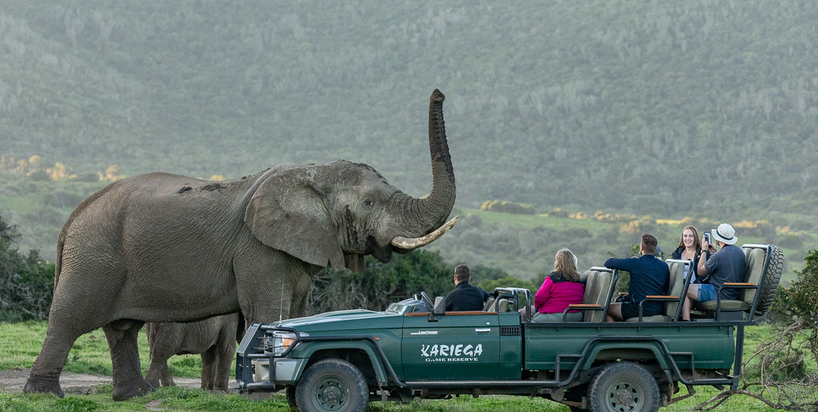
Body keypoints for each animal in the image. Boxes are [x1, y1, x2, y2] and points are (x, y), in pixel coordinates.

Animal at [22, 89, 456, 400]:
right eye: (369, 203)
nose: (439, 92)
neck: (312, 172)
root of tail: (72, 218)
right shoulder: (257, 249)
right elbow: (268, 310)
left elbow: (297, 313)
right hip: (94, 255)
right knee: (71, 318)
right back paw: (47, 395)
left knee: (122, 328)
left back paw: (134, 395)